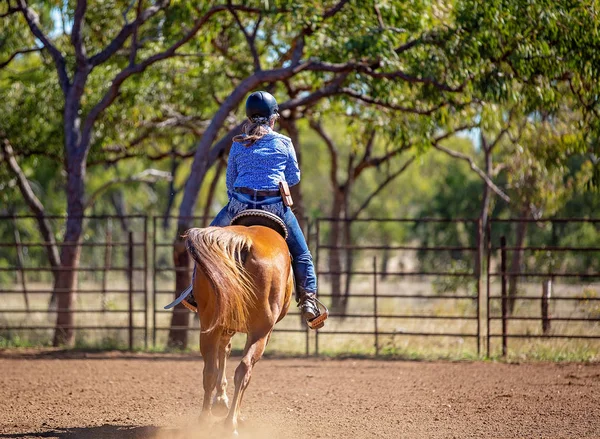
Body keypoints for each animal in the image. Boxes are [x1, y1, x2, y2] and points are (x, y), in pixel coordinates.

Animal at [184, 218, 294, 434]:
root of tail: (243, 242)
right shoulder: (263, 332)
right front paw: (232, 410)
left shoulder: (225, 325)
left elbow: (224, 351)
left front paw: (220, 400)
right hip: (260, 331)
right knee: (244, 369)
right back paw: (231, 423)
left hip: (209, 324)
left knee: (210, 368)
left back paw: (205, 419)